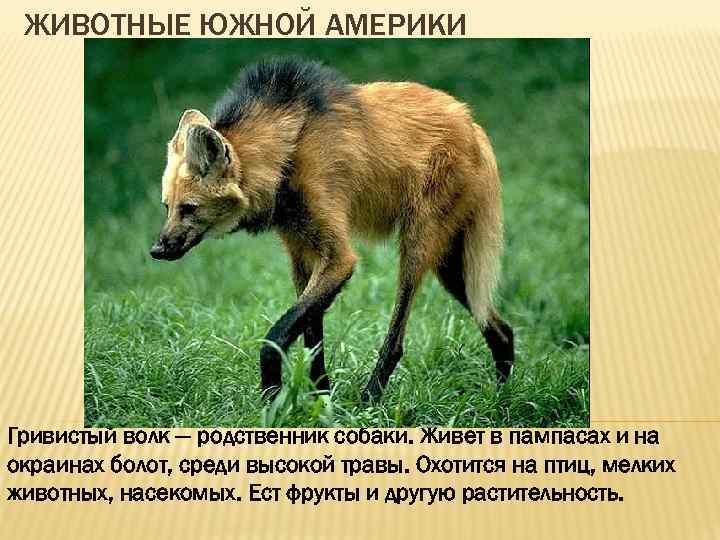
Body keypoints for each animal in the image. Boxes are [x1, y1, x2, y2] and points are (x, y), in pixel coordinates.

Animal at [150, 58, 514, 402]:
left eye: (189, 208)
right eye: (167, 207)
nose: (157, 249)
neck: (287, 156)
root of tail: (472, 123)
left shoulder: (338, 258)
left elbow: (276, 338)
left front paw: (272, 401)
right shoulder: (302, 255)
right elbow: (313, 341)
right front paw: (321, 400)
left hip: (418, 247)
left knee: (397, 339)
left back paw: (369, 401)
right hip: (450, 265)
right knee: (501, 329)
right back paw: (500, 400)